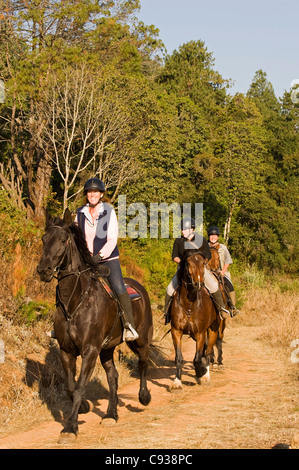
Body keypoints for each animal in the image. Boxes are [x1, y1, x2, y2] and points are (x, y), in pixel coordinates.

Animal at [37, 207, 154, 442]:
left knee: (143, 363)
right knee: (113, 376)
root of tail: (140, 287)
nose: (43, 270)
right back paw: (111, 414)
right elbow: (71, 387)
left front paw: (70, 428)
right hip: (107, 348)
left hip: (140, 340)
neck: (75, 302)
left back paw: (144, 397)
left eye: (63, 240)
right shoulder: (66, 350)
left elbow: (80, 386)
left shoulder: (89, 350)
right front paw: (83, 407)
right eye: (44, 239)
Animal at [170, 250, 221, 390]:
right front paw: (177, 383)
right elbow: (179, 358)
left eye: (203, 263)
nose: (198, 284)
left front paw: (200, 373)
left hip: (213, 329)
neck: (188, 305)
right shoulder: (176, 331)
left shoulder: (200, 333)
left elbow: (197, 359)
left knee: (208, 352)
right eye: (188, 263)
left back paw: (206, 376)